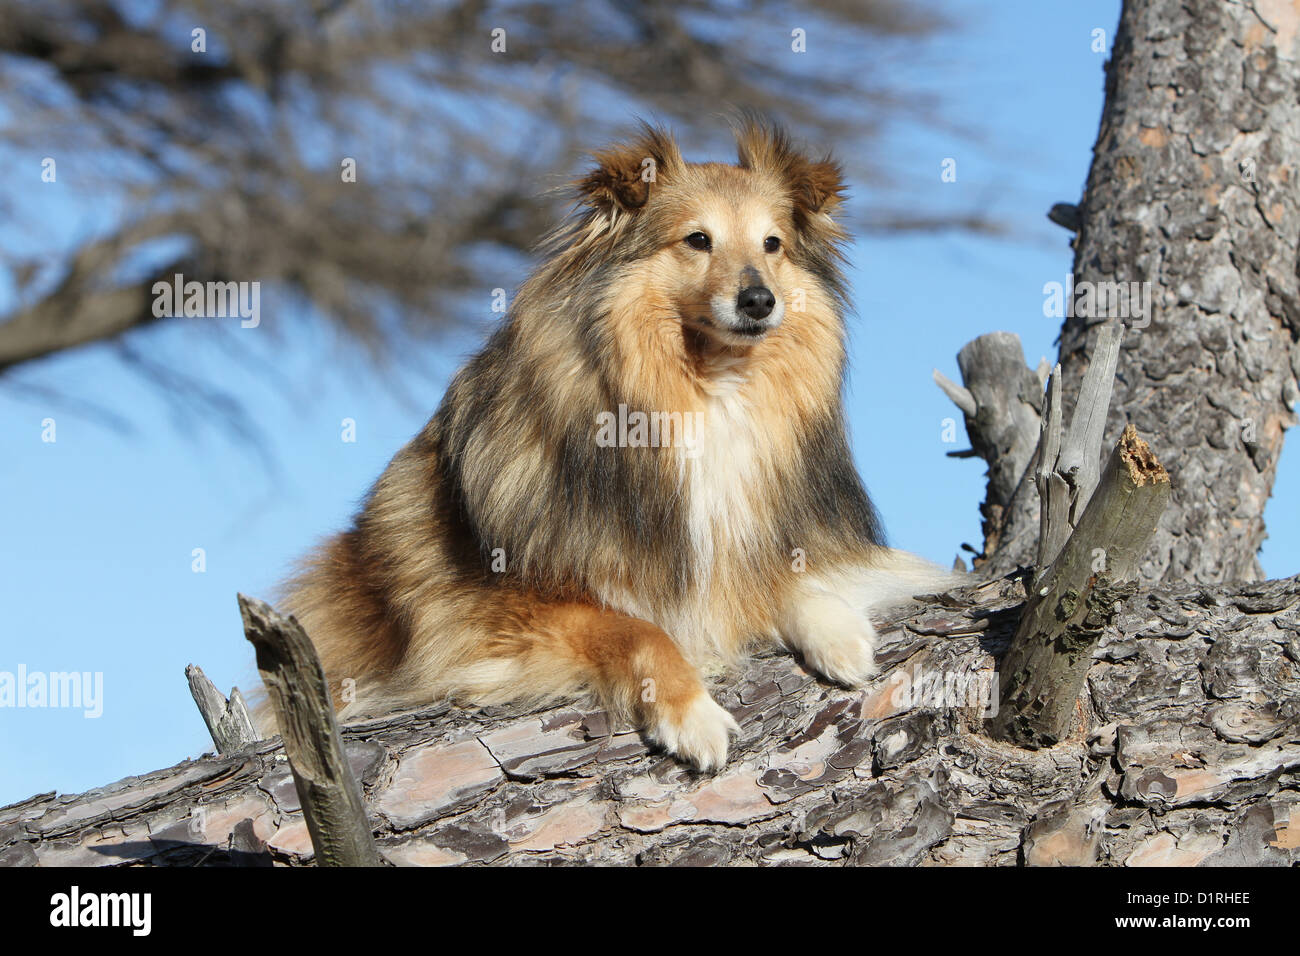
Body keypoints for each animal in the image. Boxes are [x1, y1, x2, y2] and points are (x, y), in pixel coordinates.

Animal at [282, 123, 956, 775]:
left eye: (773, 244)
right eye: (697, 239)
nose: (760, 301)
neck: (706, 391)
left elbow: (763, 574)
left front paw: (836, 626)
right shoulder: (496, 617)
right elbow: (636, 629)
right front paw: (691, 714)